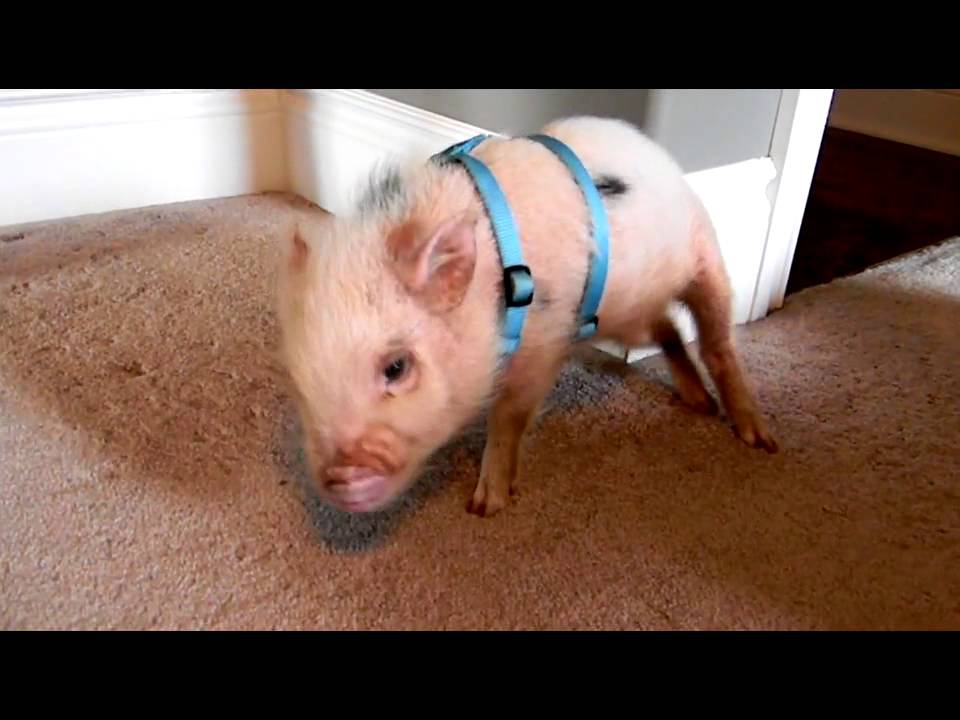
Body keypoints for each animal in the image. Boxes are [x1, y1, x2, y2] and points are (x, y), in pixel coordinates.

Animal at [276, 116, 778, 518]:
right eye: (298, 382)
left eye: (396, 367)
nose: (340, 479)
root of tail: (658, 156)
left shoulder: (542, 342)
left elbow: (510, 415)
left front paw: (485, 506)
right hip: (631, 311)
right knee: (668, 328)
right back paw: (698, 402)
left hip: (705, 254)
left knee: (716, 342)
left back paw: (757, 438)